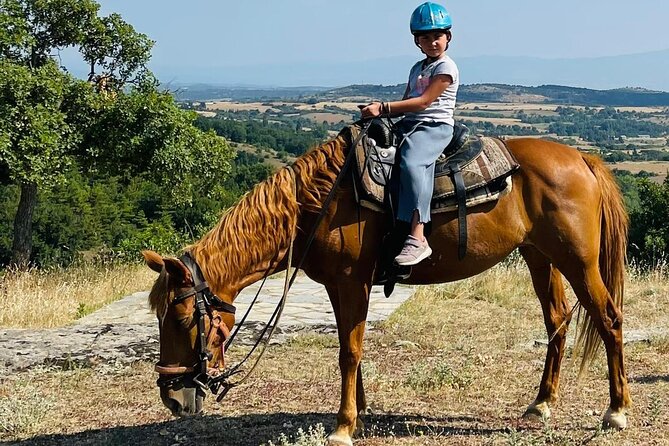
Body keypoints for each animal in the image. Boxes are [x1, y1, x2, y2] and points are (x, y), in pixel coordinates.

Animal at [144, 127, 628, 444]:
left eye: (183, 319)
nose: (172, 399)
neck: (317, 204)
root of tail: (582, 159)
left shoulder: (352, 282)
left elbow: (349, 351)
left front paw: (342, 427)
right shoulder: (337, 287)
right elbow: (349, 346)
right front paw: (359, 415)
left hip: (578, 262)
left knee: (609, 320)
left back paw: (616, 411)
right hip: (539, 257)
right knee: (557, 322)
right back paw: (542, 403)